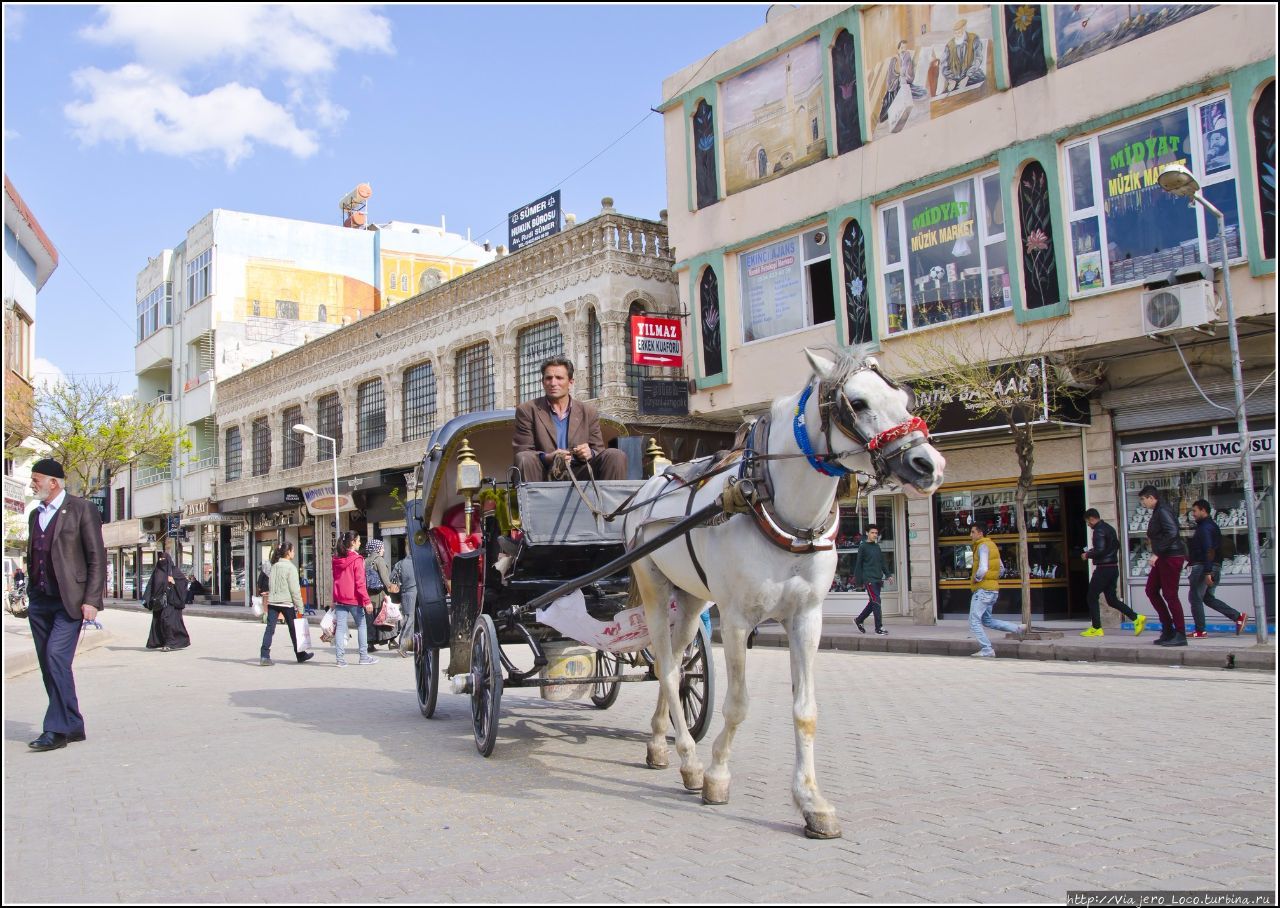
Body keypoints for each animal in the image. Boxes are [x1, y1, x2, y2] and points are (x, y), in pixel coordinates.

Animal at [624, 345, 947, 835]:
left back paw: (662, 745)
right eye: (857, 403)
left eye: (904, 399)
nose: (928, 465)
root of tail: (650, 483)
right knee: (666, 667)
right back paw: (690, 761)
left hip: (694, 599)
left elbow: (805, 710)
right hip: (655, 590)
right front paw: (717, 775)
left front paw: (812, 801)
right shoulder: (736, 621)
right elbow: (738, 705)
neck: (770, 502)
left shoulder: (807, 618)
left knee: (675, 667)